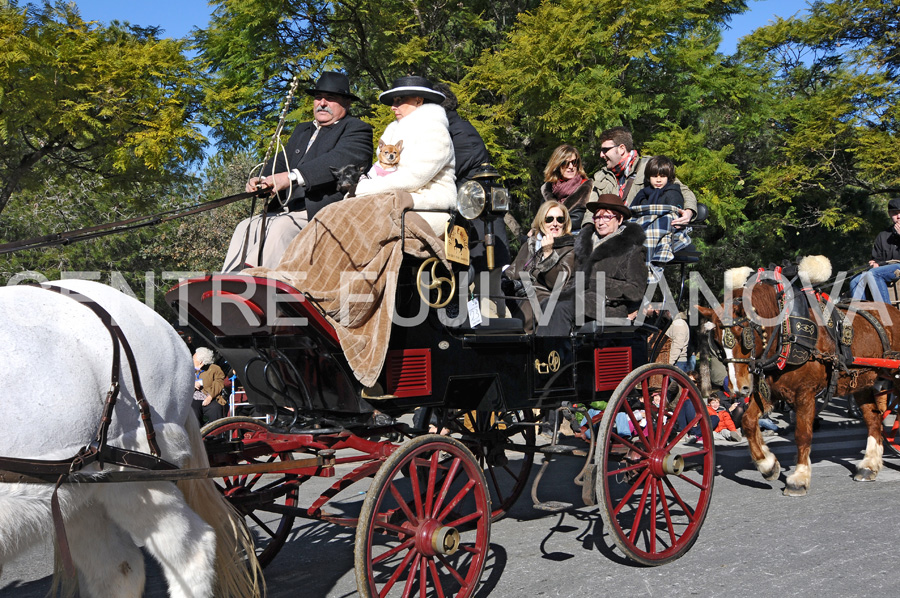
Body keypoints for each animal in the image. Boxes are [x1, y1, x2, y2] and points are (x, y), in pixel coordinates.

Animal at [696, 258, 900, 496]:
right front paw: (767, 465)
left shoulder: (805, 392)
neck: (786, 332)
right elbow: (747, 421)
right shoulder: (771, 390)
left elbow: (802, 433)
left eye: (742, 337)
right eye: (717, 344)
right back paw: (869, 466)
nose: (739, 389)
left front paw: (799, 478)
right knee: (873, 419)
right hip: (861, 382)